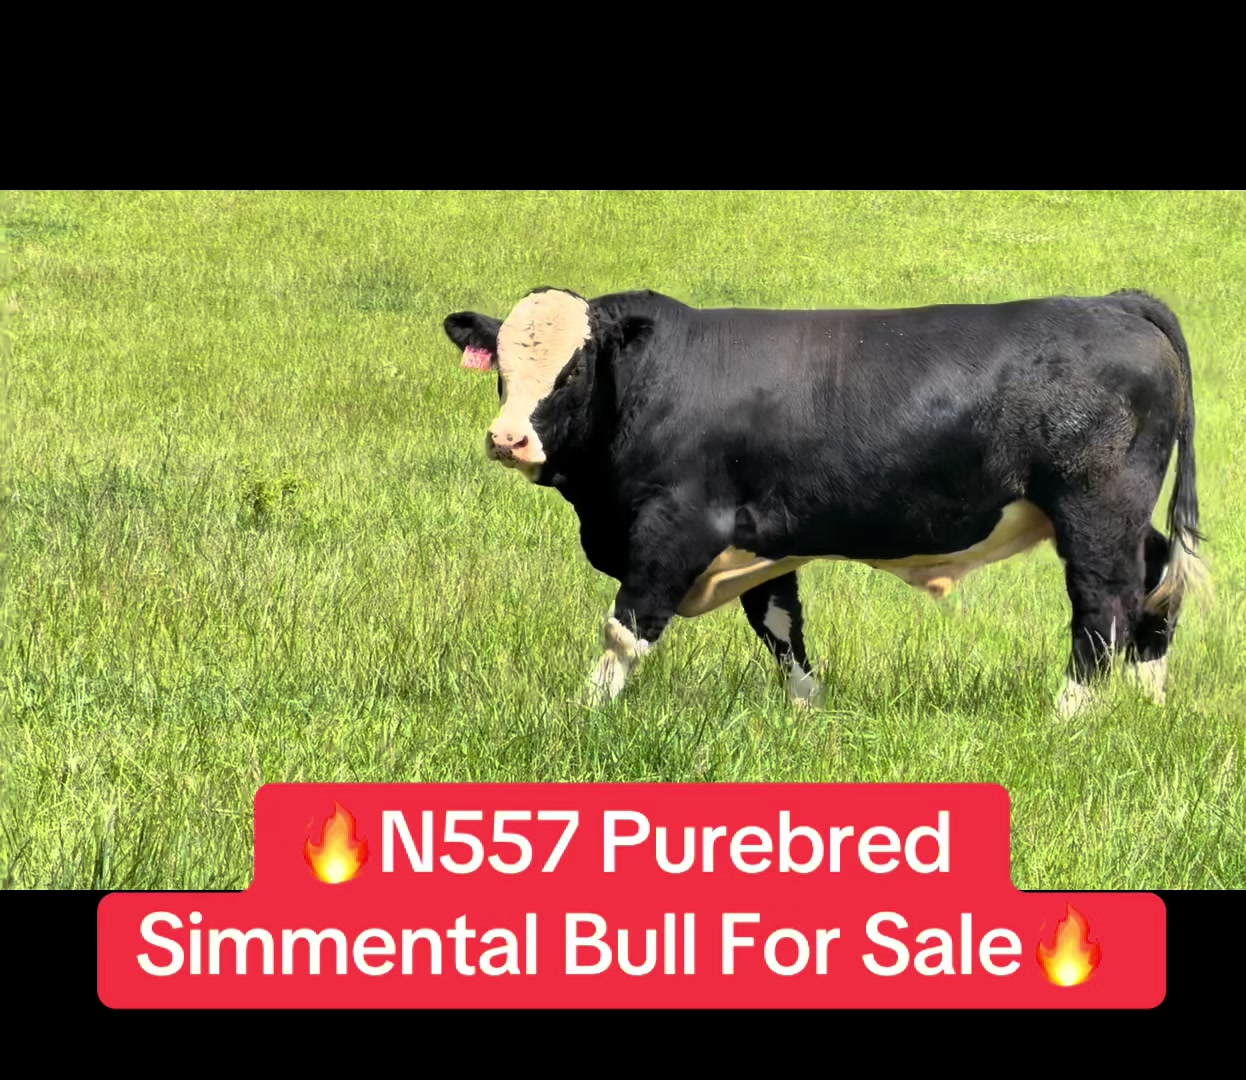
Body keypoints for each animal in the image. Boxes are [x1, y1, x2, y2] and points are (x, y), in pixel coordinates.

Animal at [442, 285, 1206, 717]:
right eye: (501, 364)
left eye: (573, 370)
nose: (507, 438)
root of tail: (1112, 301)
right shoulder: (758, 535)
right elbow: (781, 626)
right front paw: (809, 711)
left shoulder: (677, 525)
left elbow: (625, 629)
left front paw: (582, 714)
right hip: (1122, 517)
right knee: (1158, 583)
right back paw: (1150, 699)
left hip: (1095, 508)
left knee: (1105, 608)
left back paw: (1068, 716)